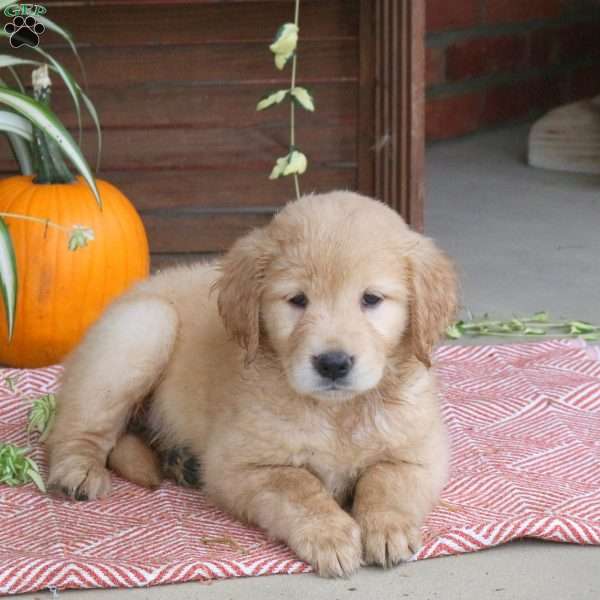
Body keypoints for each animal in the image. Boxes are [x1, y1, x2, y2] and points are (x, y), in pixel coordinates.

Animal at [47, 191, 458, 576]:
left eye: (371, 299)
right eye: (297, 300)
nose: (333, 363)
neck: (336, 412)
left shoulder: (419, 451)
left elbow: (387, 480)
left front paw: (388, 529)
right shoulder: (242, 466)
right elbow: (298, 487)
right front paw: (330, 535)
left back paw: (179, 462)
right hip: (144, 326)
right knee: (75, 428)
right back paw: (77, 471)